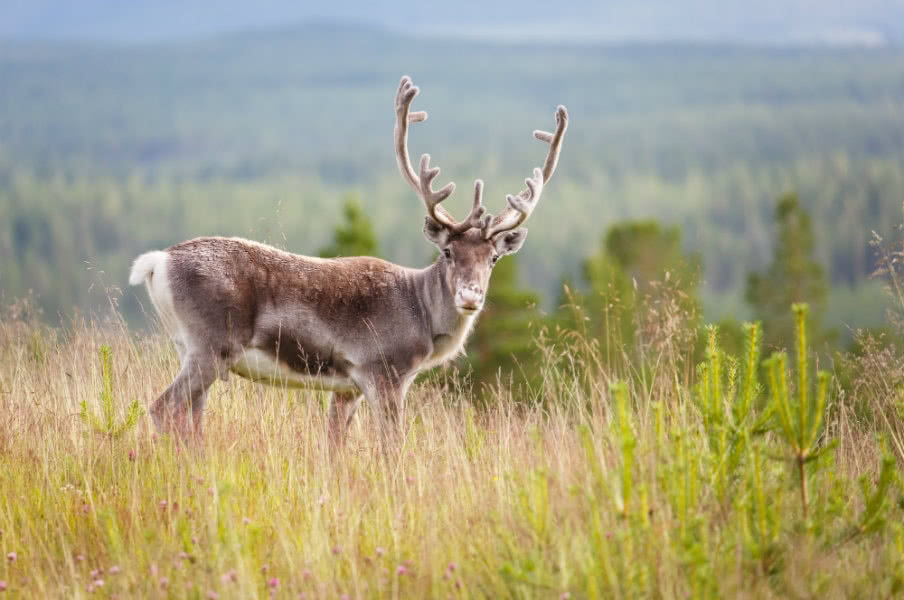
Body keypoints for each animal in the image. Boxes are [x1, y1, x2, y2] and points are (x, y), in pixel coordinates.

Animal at [128, 76, 568, 445]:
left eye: (493, 258)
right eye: (447, 252)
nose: (471, 296)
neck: (423, 318)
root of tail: (156, 262)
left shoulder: (346, 388)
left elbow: (334, 445)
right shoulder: (382, 371)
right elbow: (392, 447)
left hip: (189, 347)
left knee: (190, 417)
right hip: (211, 345)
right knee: (163, 407)